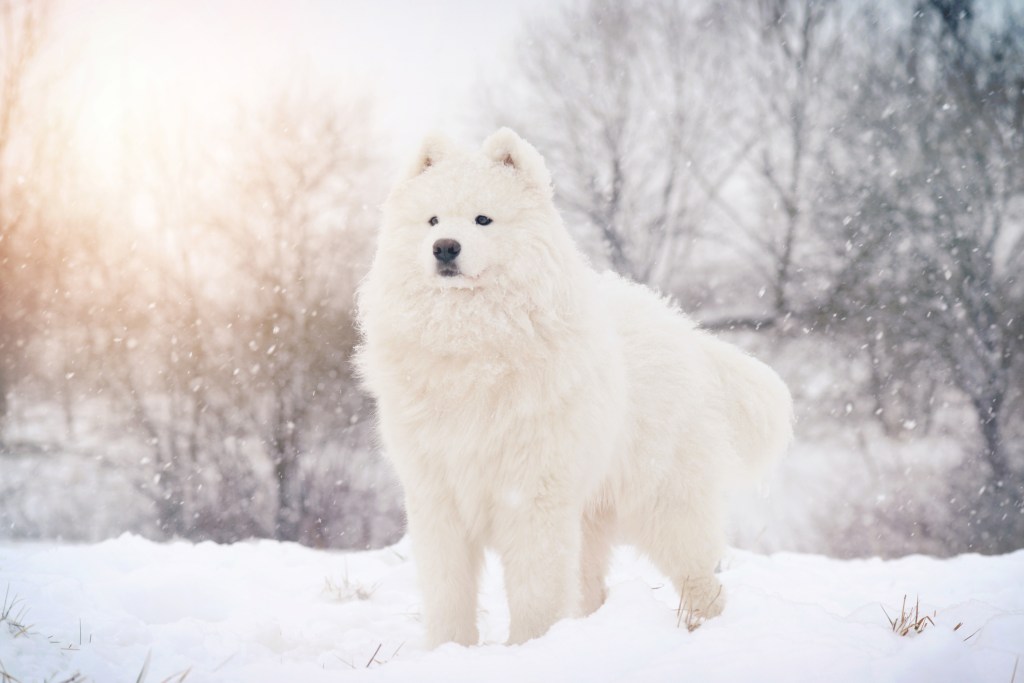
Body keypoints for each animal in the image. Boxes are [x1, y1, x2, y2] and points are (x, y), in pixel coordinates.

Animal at [356, 126, 794, 647]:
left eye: (483, 219)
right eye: (432, 220)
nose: (445, 246)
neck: (473, 345)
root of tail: (687, 332)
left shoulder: (532, 496)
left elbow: (534, 590)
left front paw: (529, 647)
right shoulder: (437, 496)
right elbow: (448, 593)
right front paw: (449, 650)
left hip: (663, 507)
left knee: (700, 579)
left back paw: (705, 629)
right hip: (591, 516)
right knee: (593, 589)